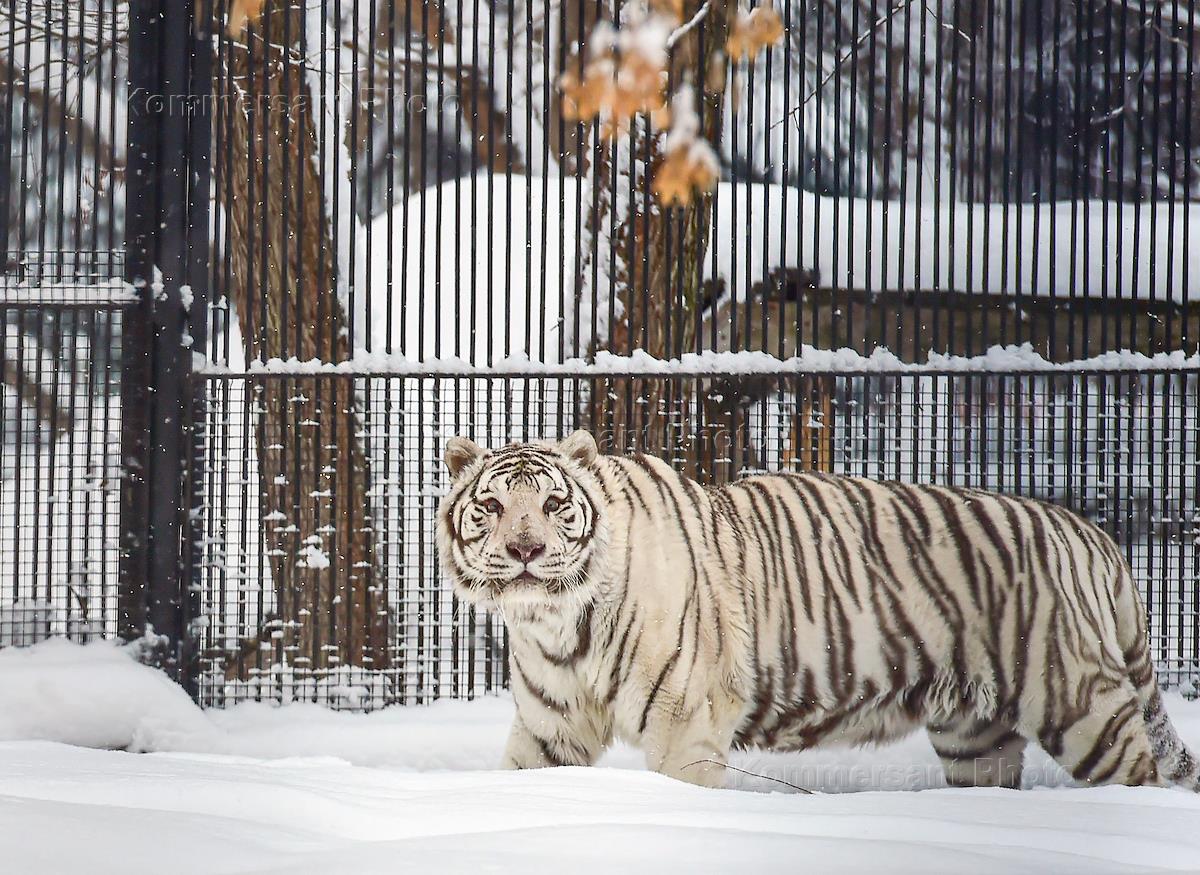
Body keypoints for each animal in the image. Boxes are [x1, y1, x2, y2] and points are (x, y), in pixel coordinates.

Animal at [439, 429, 1200, 792]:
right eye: (492, 506)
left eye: (554, 505)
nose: (528, 548)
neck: (555, 623)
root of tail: (1094, 534)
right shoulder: (551, 729)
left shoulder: (686, 724)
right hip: (974, 734)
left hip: (1079, 702)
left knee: (1138, 774)